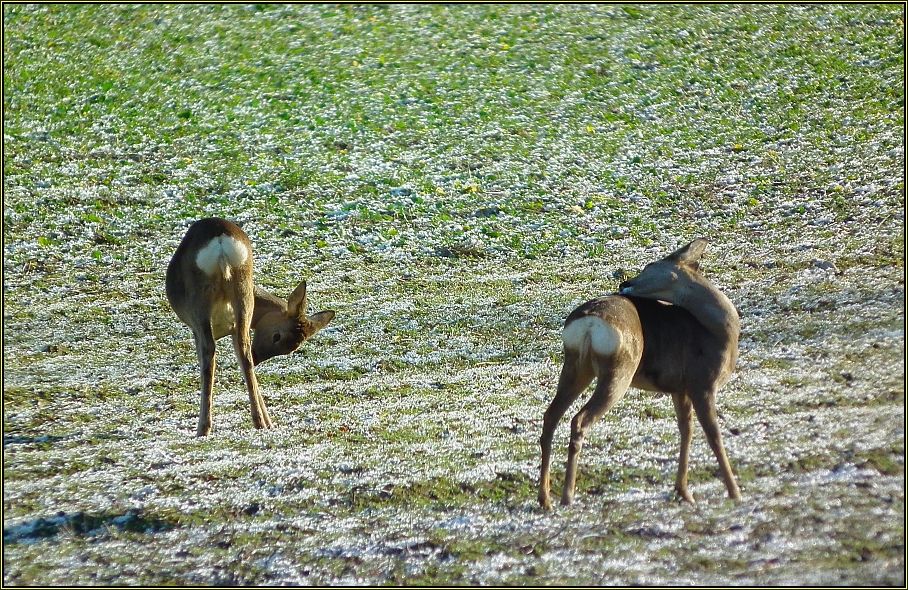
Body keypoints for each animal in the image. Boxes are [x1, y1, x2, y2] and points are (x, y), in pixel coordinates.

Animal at [165, 220, 336, 438]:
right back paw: (260, 422)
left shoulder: (197, 329)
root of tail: (221, 244)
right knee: (245, 353)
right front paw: (270, 423)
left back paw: (203, 428)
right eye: (278, 337)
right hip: (243, 291)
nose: (258, 357)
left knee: (210, 354)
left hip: (200, 302)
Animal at [540, 238, 736, 512]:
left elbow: (686, 431)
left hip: (575, 366)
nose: (624, 283)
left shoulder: (679, 389)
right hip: (619, 370)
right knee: (579, 420)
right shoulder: (702, 382)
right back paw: (567, 496)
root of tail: (589, 324)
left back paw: (545, 499)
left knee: (551, 416)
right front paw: (734, 492)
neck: (719, 332)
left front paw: (684, 492)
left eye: (649, 266)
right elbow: (713, 435)